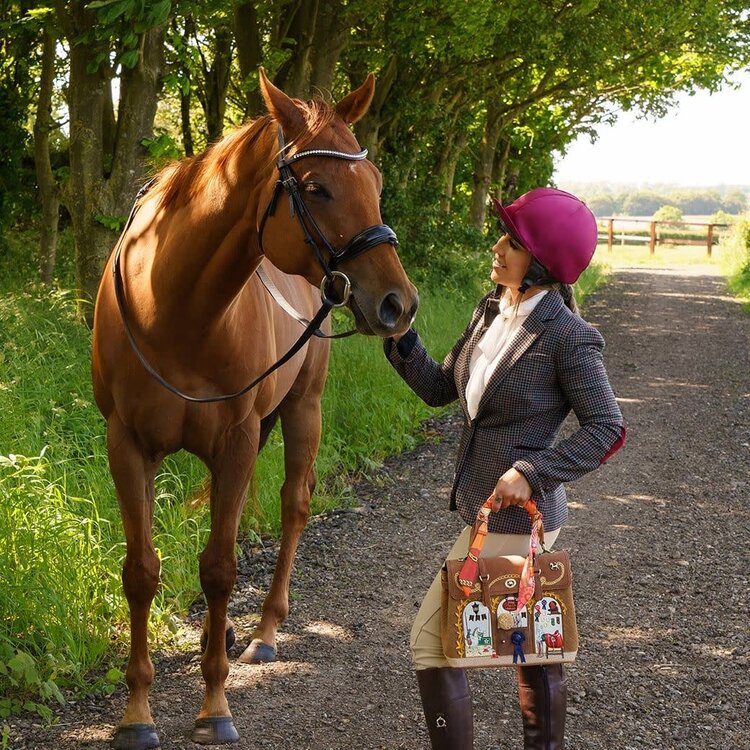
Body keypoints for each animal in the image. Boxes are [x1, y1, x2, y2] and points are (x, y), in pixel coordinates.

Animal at [91, 69, 418, 748]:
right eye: (316, 188)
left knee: (294, 506)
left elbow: (219, 568)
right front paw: (136, 713)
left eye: (375, 185)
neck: (174, 308)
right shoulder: (126, 443)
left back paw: (264, 631)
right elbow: (142, 571)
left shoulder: (237, 437)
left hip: (301, 408)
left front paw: (215, 706)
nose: (398, 302)